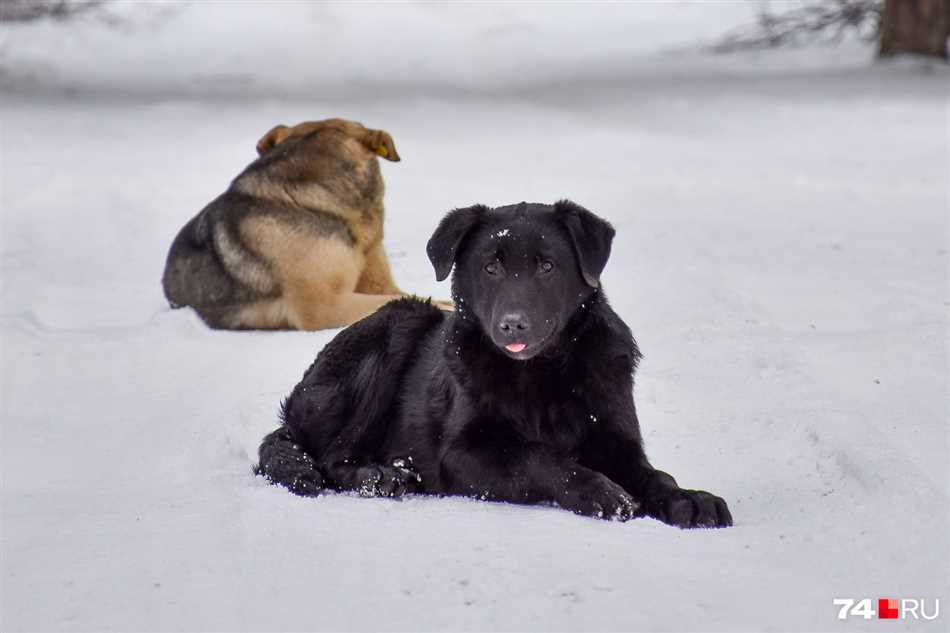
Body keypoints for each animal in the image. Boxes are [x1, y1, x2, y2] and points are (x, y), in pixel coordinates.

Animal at [260, 200, 736, 524]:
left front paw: (689, 498)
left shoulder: (617, 443)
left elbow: (657, 476)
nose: (512, 325)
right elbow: (541, 457)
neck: (543, 374)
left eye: (547, 266)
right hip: (398, 324)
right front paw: (602, 492)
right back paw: (381, 475)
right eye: (491, 267)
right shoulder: (465, 453)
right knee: (330, 456)